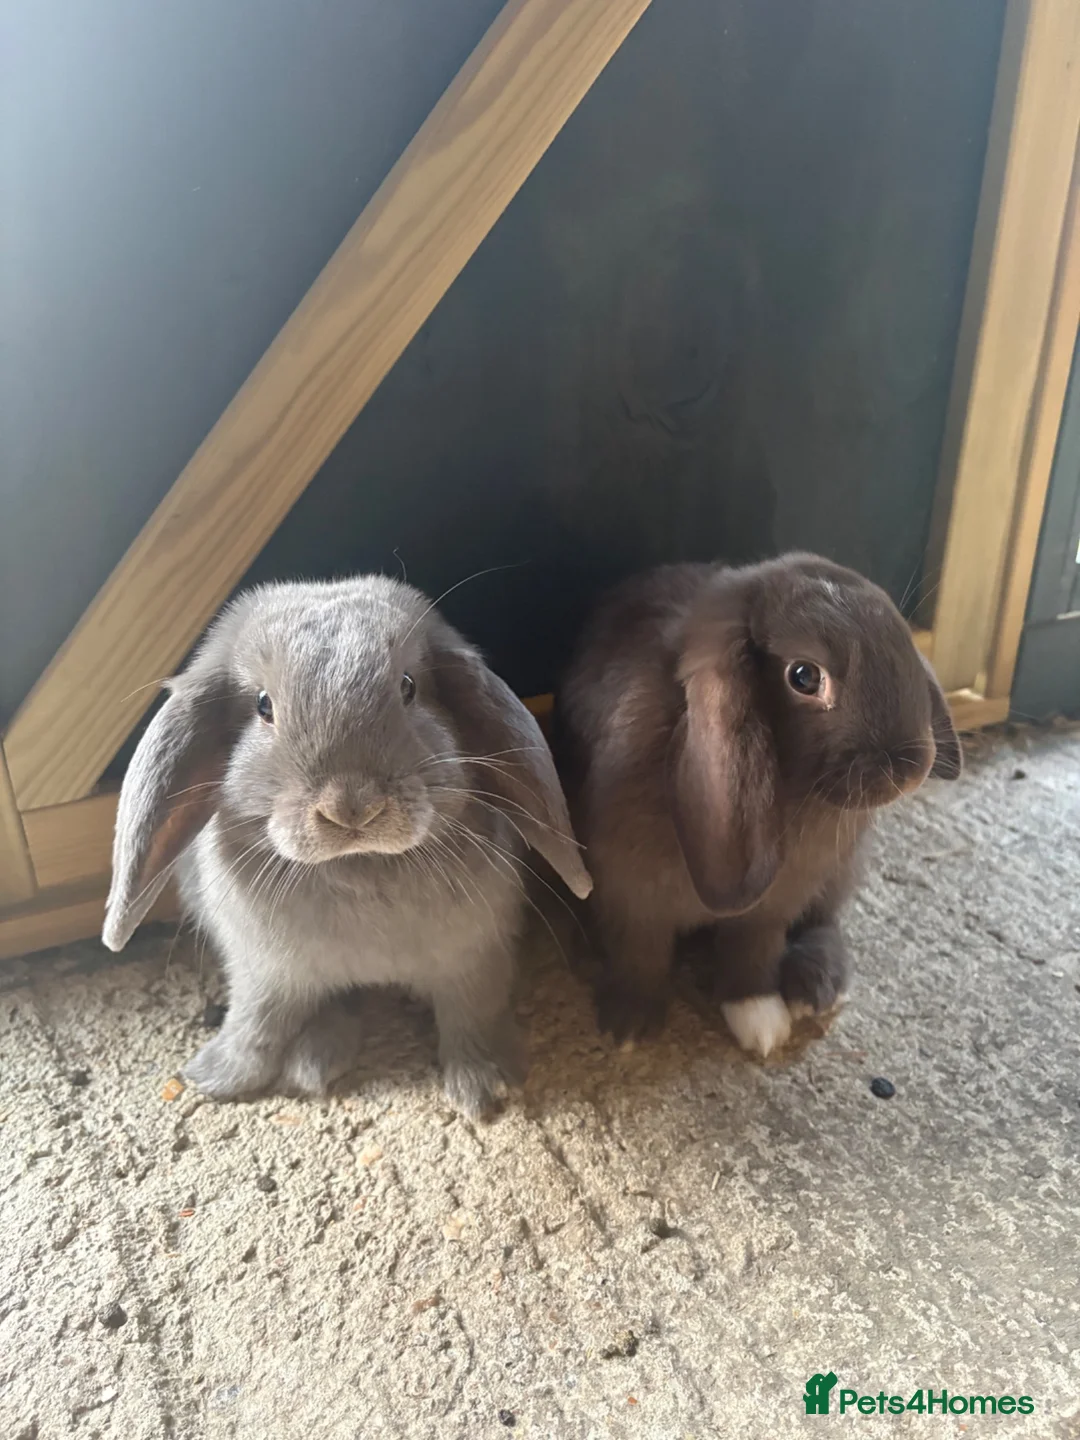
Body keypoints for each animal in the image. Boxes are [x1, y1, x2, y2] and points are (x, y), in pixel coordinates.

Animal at [102, 575, 592, 1118]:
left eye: (408, 687)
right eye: (263, 706)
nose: (351, 807)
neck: (360, 864)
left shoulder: (474, 961)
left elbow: (472, 1017)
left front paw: (485, 1088)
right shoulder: (263, 973)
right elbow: (255, 1024)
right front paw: (217, 1078)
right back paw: (313, 1063)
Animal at [555, 552, 961, 1057]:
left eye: (902, 641)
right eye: (804, 677)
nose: (910, 768)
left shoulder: (771, 907)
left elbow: (752, 952)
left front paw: (762, 1022)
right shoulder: (629, 893)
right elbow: (640, 954)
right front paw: (628, 1027)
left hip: (841, 869)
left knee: (824, 922)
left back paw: (815, 989)